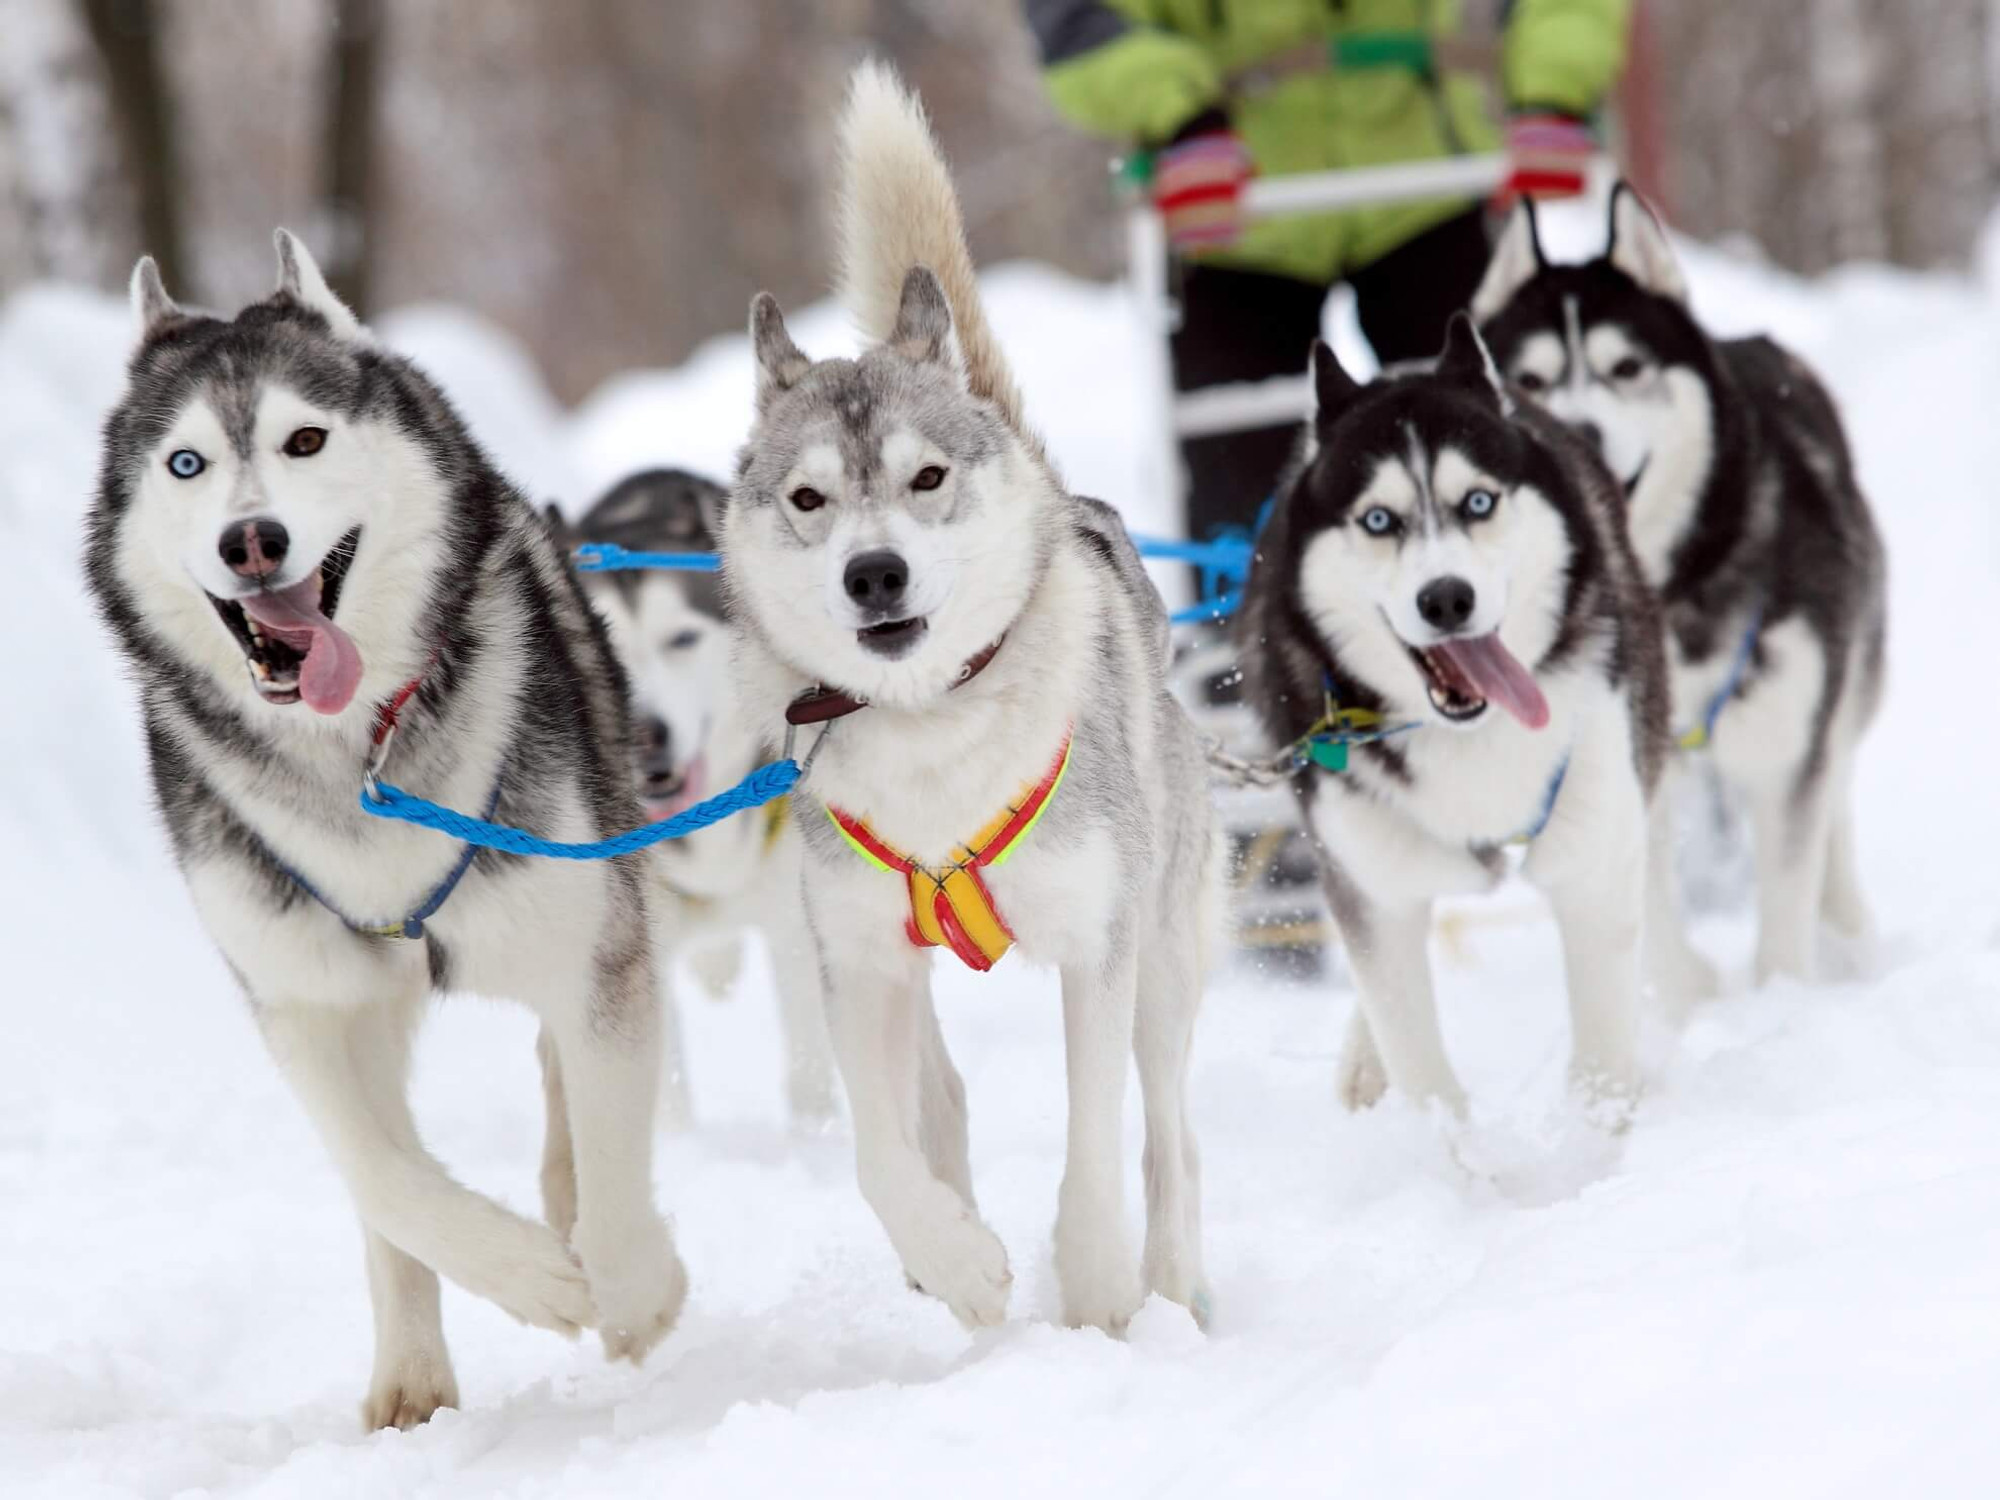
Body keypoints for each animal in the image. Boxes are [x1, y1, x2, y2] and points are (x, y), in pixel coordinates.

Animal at [84, 235, 688, 1432]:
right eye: (186, 464)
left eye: (304, 439)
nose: (251, 539)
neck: (355, 757)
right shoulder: (303, 1000)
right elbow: (381, 1173)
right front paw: (524, 1276)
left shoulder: (592, 947)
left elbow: (605, 1135)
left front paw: (633, 1287)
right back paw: (417, 1375)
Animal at [724, 64, 1216, 1336]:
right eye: (807, 499)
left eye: (927, 478)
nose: (873, 573)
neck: (928, 728)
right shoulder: (856, 966)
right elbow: (875, 1155)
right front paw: (956, 1260)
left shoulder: (1097, 942)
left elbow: (1096, 1144)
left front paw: (1092, 1287)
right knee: (933, 1099)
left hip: (1165, 949)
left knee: (1168, 1133)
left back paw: (1172, 1285)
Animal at [1240, 318, 1664, 1120]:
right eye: (1379, 520)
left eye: (1477, 503)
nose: (1445, 598)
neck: (1472, 737)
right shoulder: (1370, 882)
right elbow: (1425, 1078)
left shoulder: (1593, 856)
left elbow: (1602, 1064)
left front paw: (1598, 1140)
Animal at [1480, 191, 1880, 1000]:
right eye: (1529, 382)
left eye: (1626, 367)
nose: (1578, 427)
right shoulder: (1625, 752)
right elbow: (1649, 901)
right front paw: (1691, 999)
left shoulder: (1788, 750)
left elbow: (1788, 897)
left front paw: (1784, 1001)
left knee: (1836, 808)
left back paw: (1851, 934)